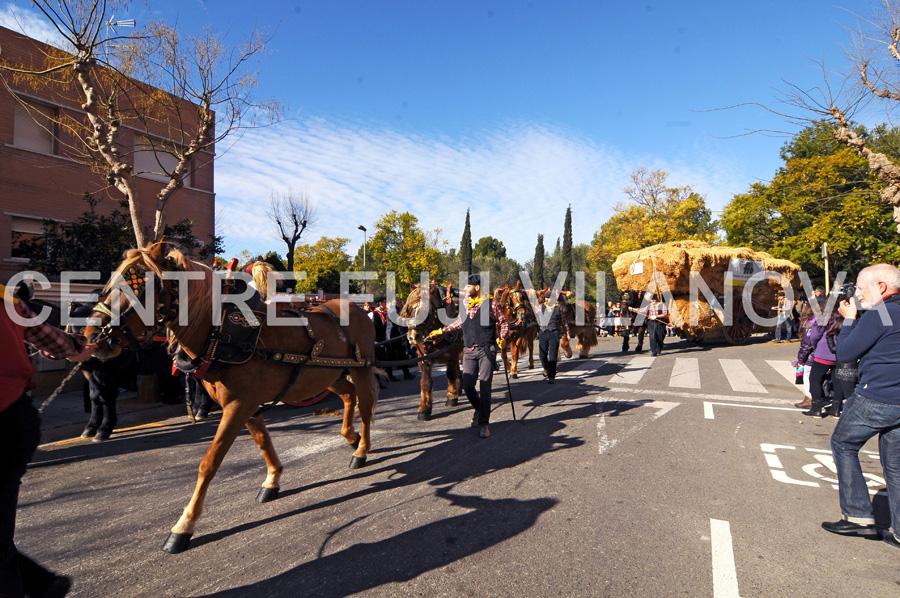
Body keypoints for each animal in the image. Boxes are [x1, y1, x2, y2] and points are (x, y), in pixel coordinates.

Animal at [84, 240, 380, 556]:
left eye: (138, 286)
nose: (91, 334)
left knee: (365, 405)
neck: (220, 332)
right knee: (349, 397)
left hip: (360, 370)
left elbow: (209, 462)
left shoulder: (239, 405)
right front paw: (272, 479)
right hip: (326, 376)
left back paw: (361, 450)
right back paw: (351, 437)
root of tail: (355, 309)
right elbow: (263, 441)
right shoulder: (244, 405)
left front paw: (184, 525)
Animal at [400, 282, 464, 420]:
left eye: (426, 311)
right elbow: (425, 382)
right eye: (409, 310)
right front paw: (424, 408)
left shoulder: (452, 354)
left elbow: (450, 374)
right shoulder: (423, 358)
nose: (412, 337)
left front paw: (451, 396)